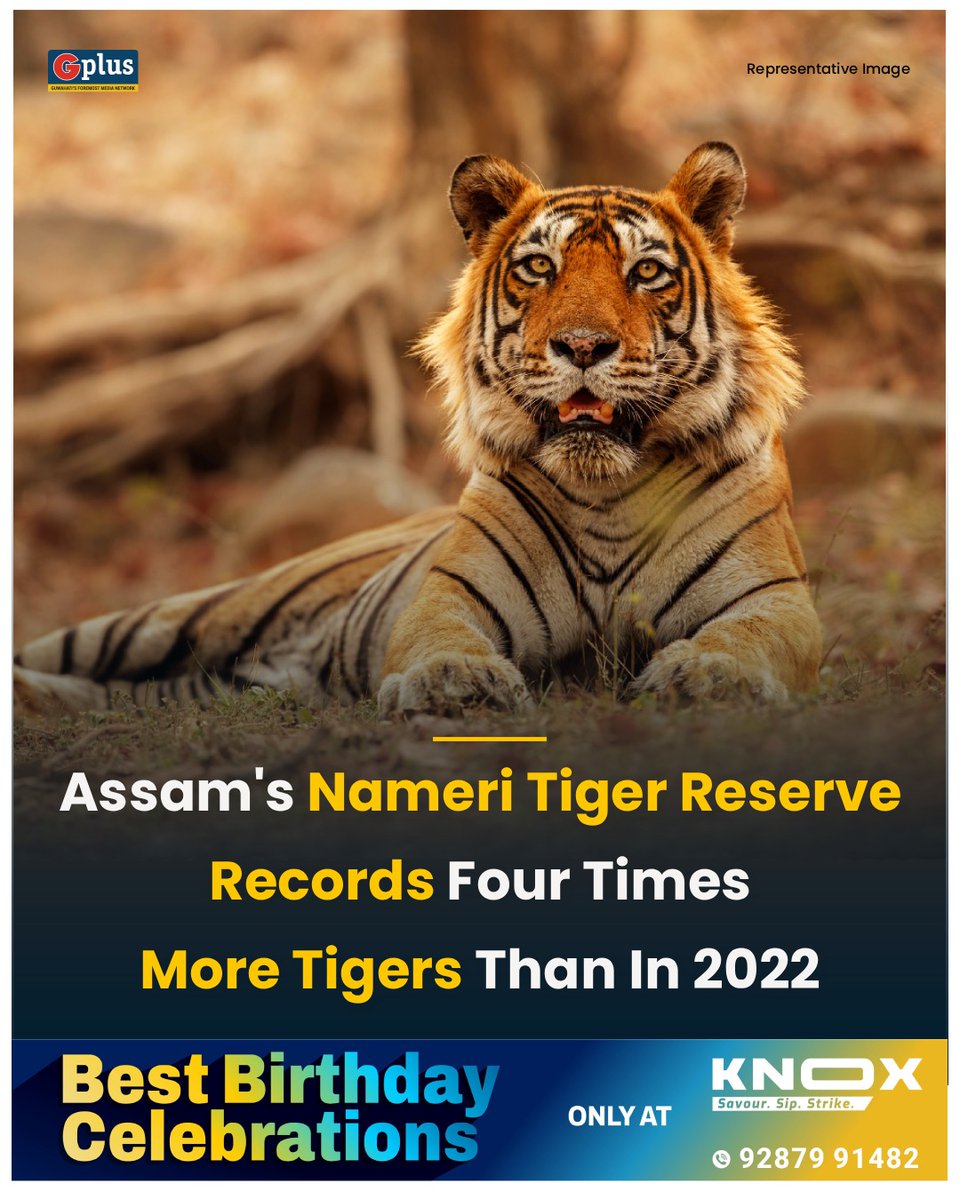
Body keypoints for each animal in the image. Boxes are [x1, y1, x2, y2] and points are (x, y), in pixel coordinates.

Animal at [14, 142, 822, 719]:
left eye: (646, 272)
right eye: (538, 267)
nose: (584, 346)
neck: (606, 496)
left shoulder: (774, 598)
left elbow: (747, 635)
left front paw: (708, 673)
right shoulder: (450, 595)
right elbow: (441, 636)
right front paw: (454, 680)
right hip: (176, 616)